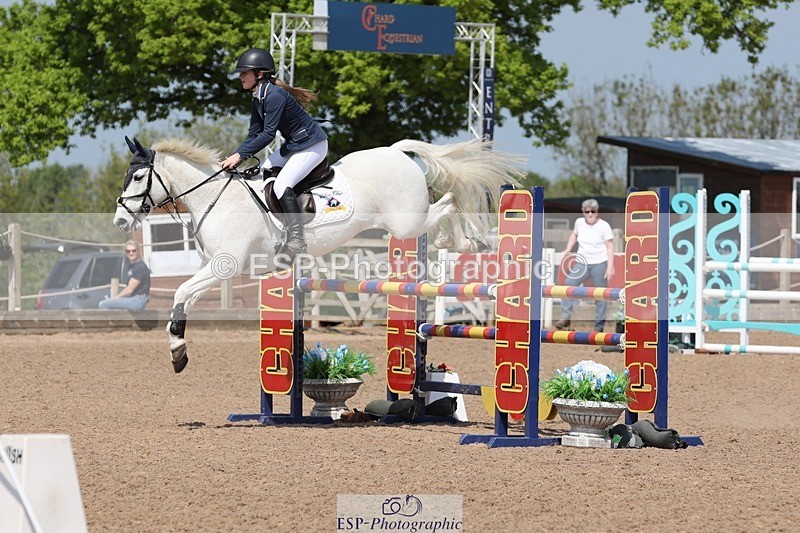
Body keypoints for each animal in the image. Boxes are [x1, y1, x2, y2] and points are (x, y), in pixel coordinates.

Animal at [113, 136, 524, 373]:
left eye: (138, 177)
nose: (119, 220)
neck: (215, 198)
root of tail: (394, 152)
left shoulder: (223, 267)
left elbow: (181, 293)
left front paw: (177, 352)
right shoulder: (210, 267)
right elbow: (184, 296)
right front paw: (178, 348)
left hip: (407, 222)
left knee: (450, 200)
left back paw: (468, 242)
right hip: (407, 222)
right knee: (445, 204)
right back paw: (461, 242)